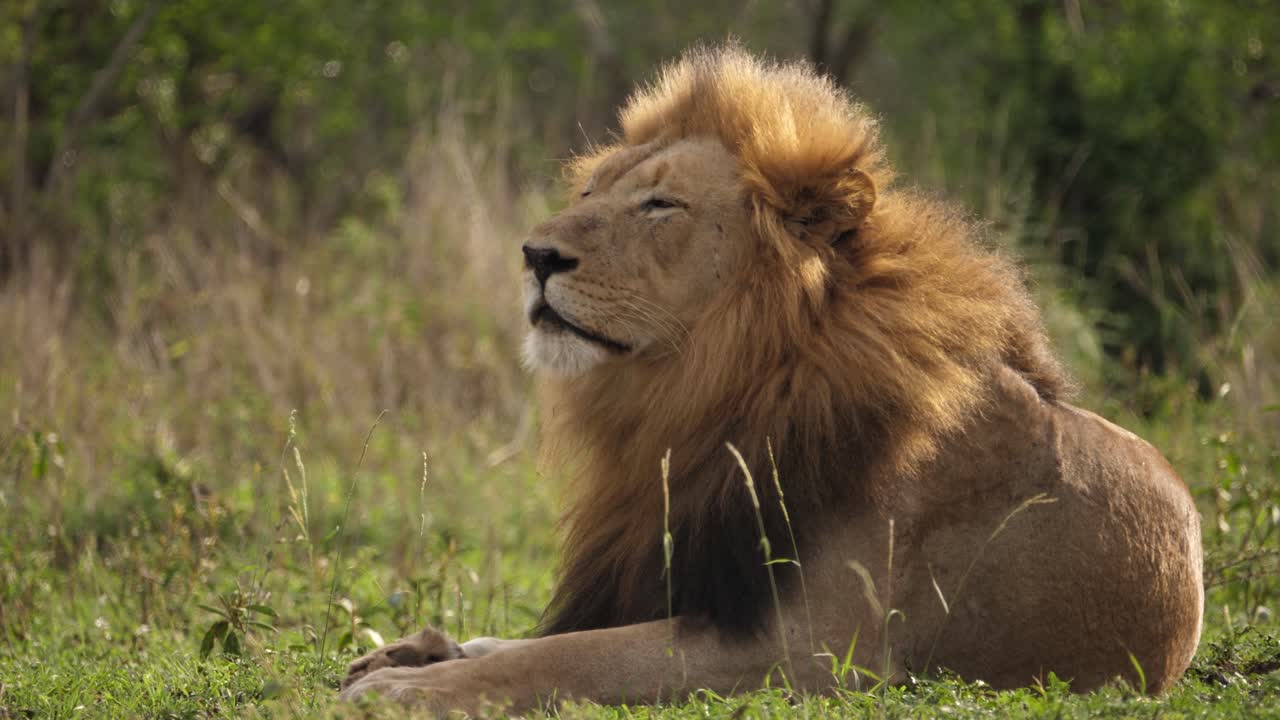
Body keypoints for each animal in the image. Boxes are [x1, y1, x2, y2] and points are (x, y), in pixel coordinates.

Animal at [340, 45, 1203, 713]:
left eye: (660, 205)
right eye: (589, 192)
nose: (534, 255)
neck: (707, 393)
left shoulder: (811, 650)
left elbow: (566, 656)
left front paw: (406, 691)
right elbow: (541, 640)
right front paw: (415, 655)